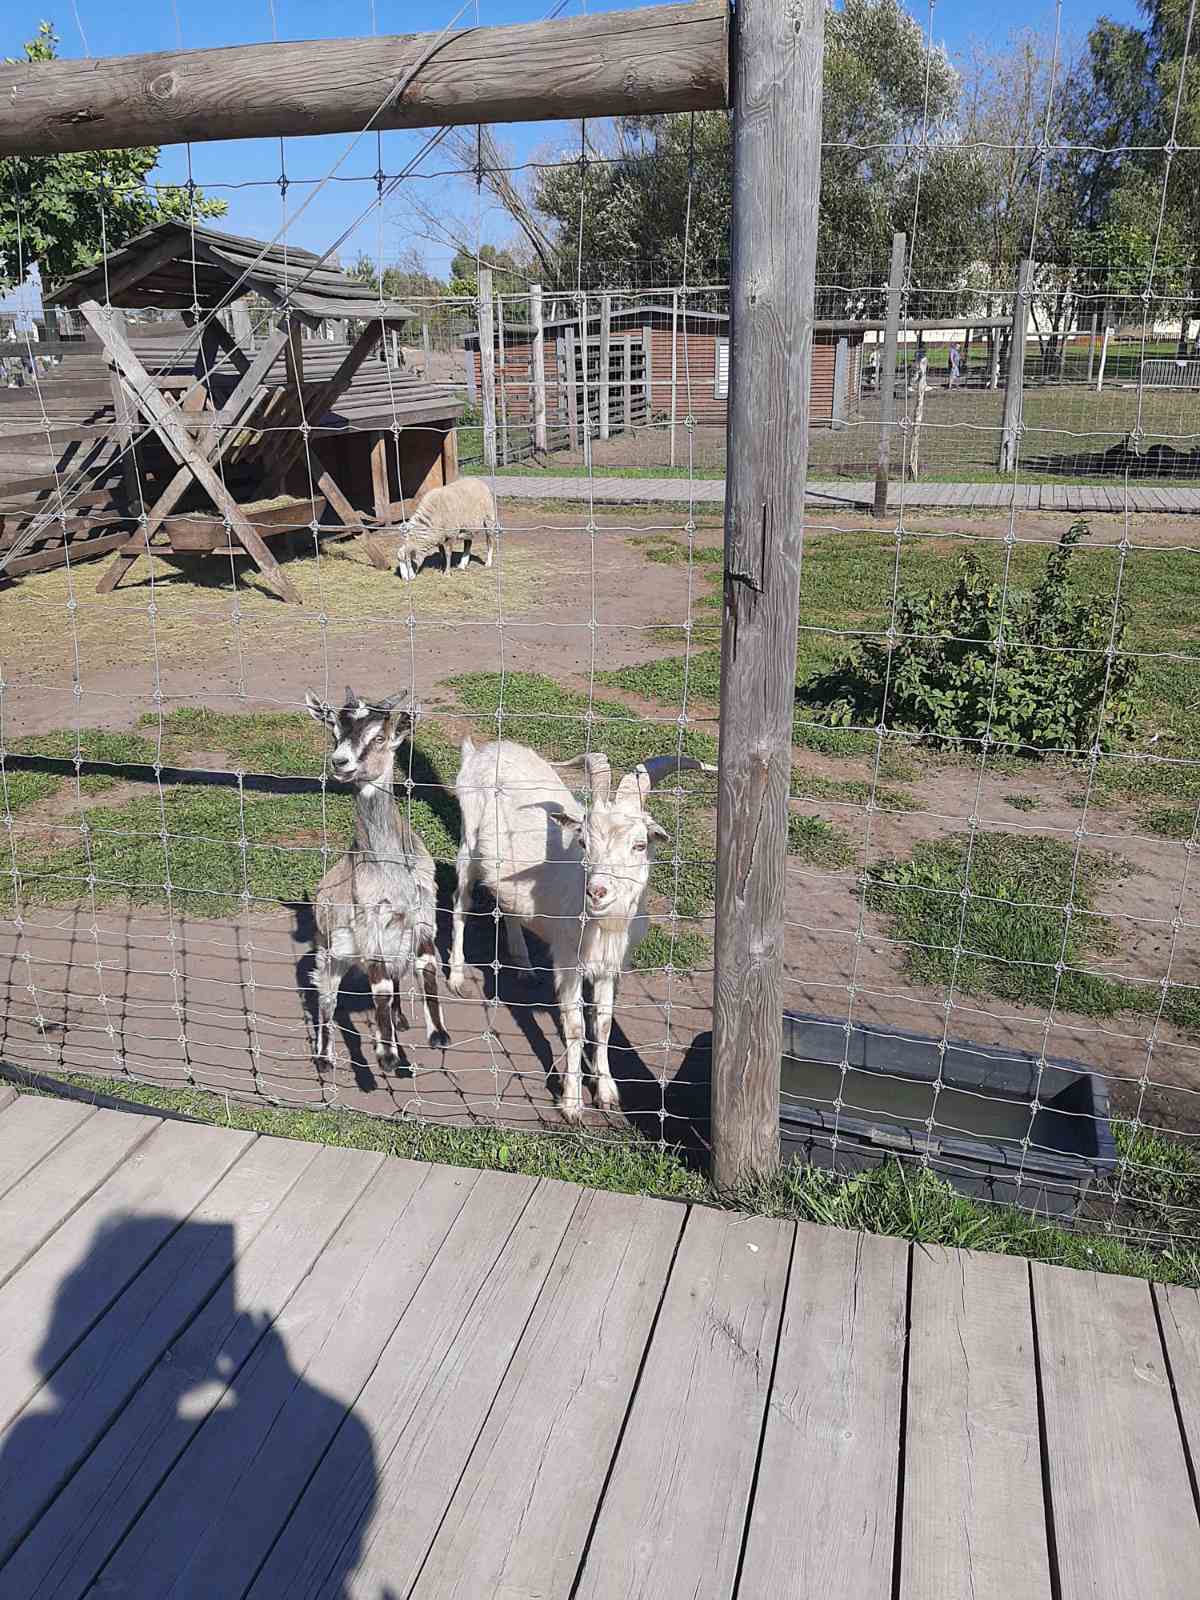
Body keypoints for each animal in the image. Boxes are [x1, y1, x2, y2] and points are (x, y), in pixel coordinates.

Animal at [304, 686, 451, 1069]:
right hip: (331, 951)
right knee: (326, 998)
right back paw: (325, 1057)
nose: (340, 762)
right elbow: (380, 985)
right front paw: (388, 1055)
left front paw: (438, 1034)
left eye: (380, 737)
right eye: (334, 732)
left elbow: (427, 965)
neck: (389, 867)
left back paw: (399, 1018)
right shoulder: (369, 920)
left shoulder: (423, 911)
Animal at [448, 738, 715, 1121]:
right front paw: (572, 1103)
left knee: (508, 904)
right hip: (468, 845)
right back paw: (455, 975)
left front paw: (607, 1093)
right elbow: (575, 1026)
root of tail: (481, 751)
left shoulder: (610, 965)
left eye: (640, 844)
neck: (602, 925)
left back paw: (524, 965)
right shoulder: (568, 961)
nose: (597, 891)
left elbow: (602, 1024)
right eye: (584, 842)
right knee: (459, 903)